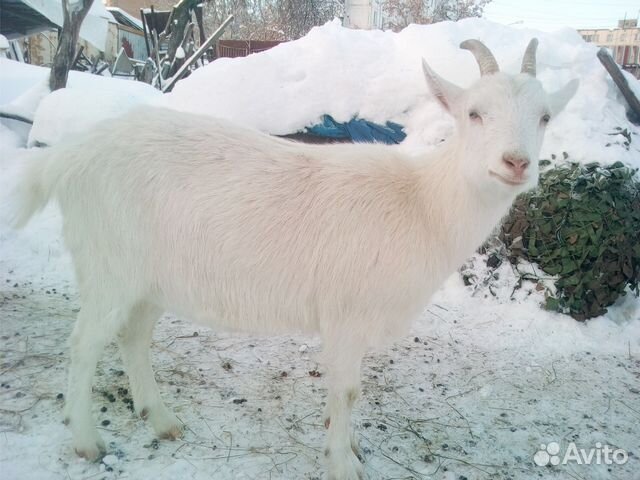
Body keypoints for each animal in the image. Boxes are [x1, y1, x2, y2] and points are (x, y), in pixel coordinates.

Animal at [15, 39, 576, 478]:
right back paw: (86, 441)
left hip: (151, 279)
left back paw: (161, 419)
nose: (516, 163)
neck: (422, 204)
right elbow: (347, 390)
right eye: (473, 113)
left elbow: (349, 393)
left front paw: (348, 446)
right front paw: (343, 463)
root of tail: (68, 155)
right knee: (84, 344)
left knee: (133, 337)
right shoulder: (346, 315)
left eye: (545, 117)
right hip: (108, 265)